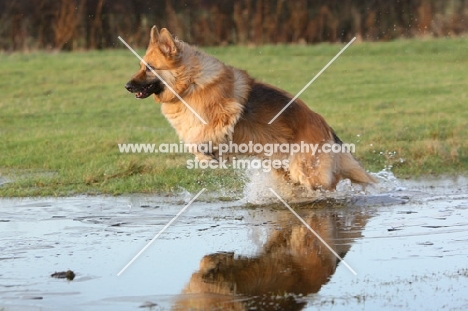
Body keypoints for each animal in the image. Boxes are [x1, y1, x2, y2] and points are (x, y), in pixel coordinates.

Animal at [125, 26, 376, 191]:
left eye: (149, 68)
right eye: (140, 66)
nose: (126, 86)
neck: (190, 84)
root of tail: (327, 129)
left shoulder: (224, 116)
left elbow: (200, 138)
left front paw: (207, 155)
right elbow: (195, 141)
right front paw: (209, 156)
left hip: (307, 171)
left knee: (331, 182)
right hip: (284, 169)